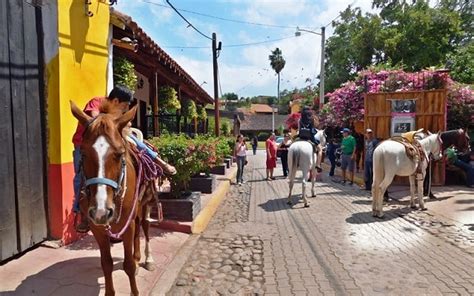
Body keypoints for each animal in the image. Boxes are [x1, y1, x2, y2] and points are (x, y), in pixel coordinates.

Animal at [71, 102, 156, 296]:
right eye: (84, 154)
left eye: (119, 153)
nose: (102, 211)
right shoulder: (98, 228)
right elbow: (107, 264)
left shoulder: (126, 224)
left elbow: (128, 265)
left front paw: (135, 290)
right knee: (138, 225)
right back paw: (138, 257)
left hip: (146, 203)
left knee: (145, 226)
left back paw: (147, 259)